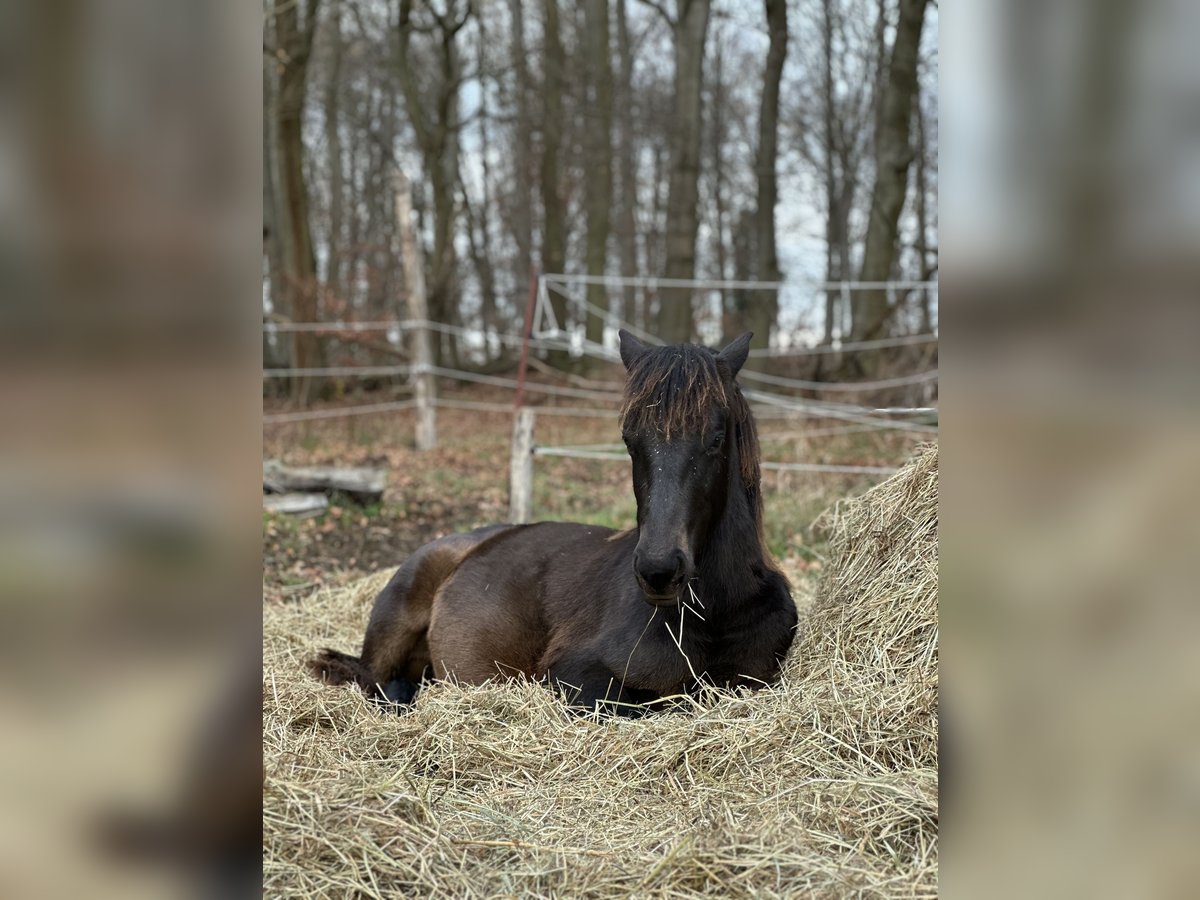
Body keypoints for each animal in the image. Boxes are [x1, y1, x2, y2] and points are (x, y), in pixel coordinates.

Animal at [308, 330, 798, 715]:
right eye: (630, 440)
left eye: (716, 438)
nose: (659, 571)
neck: (715, 613)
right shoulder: (575, 674)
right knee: (374, 679)